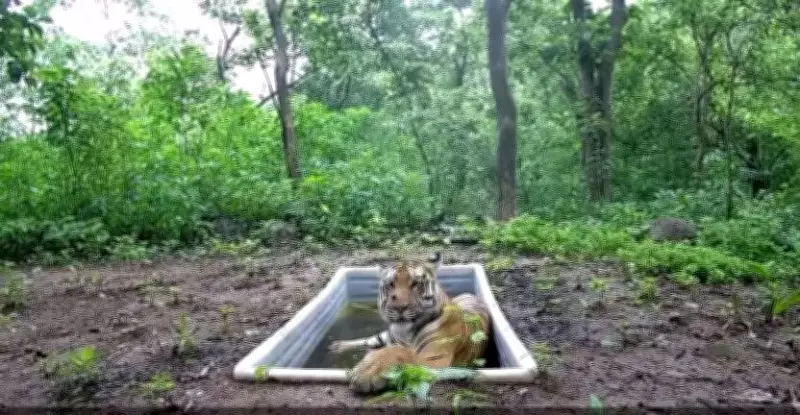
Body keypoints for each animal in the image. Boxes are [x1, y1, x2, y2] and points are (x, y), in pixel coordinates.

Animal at [329, 252, 491, 394]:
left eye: (415, 284)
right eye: (390, 284)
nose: (399, 307)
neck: (405, 333)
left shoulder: (433, 359)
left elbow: (401, 351)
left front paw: (367, 372)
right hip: (384, 336)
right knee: (368, 340)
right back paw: (337, 346)